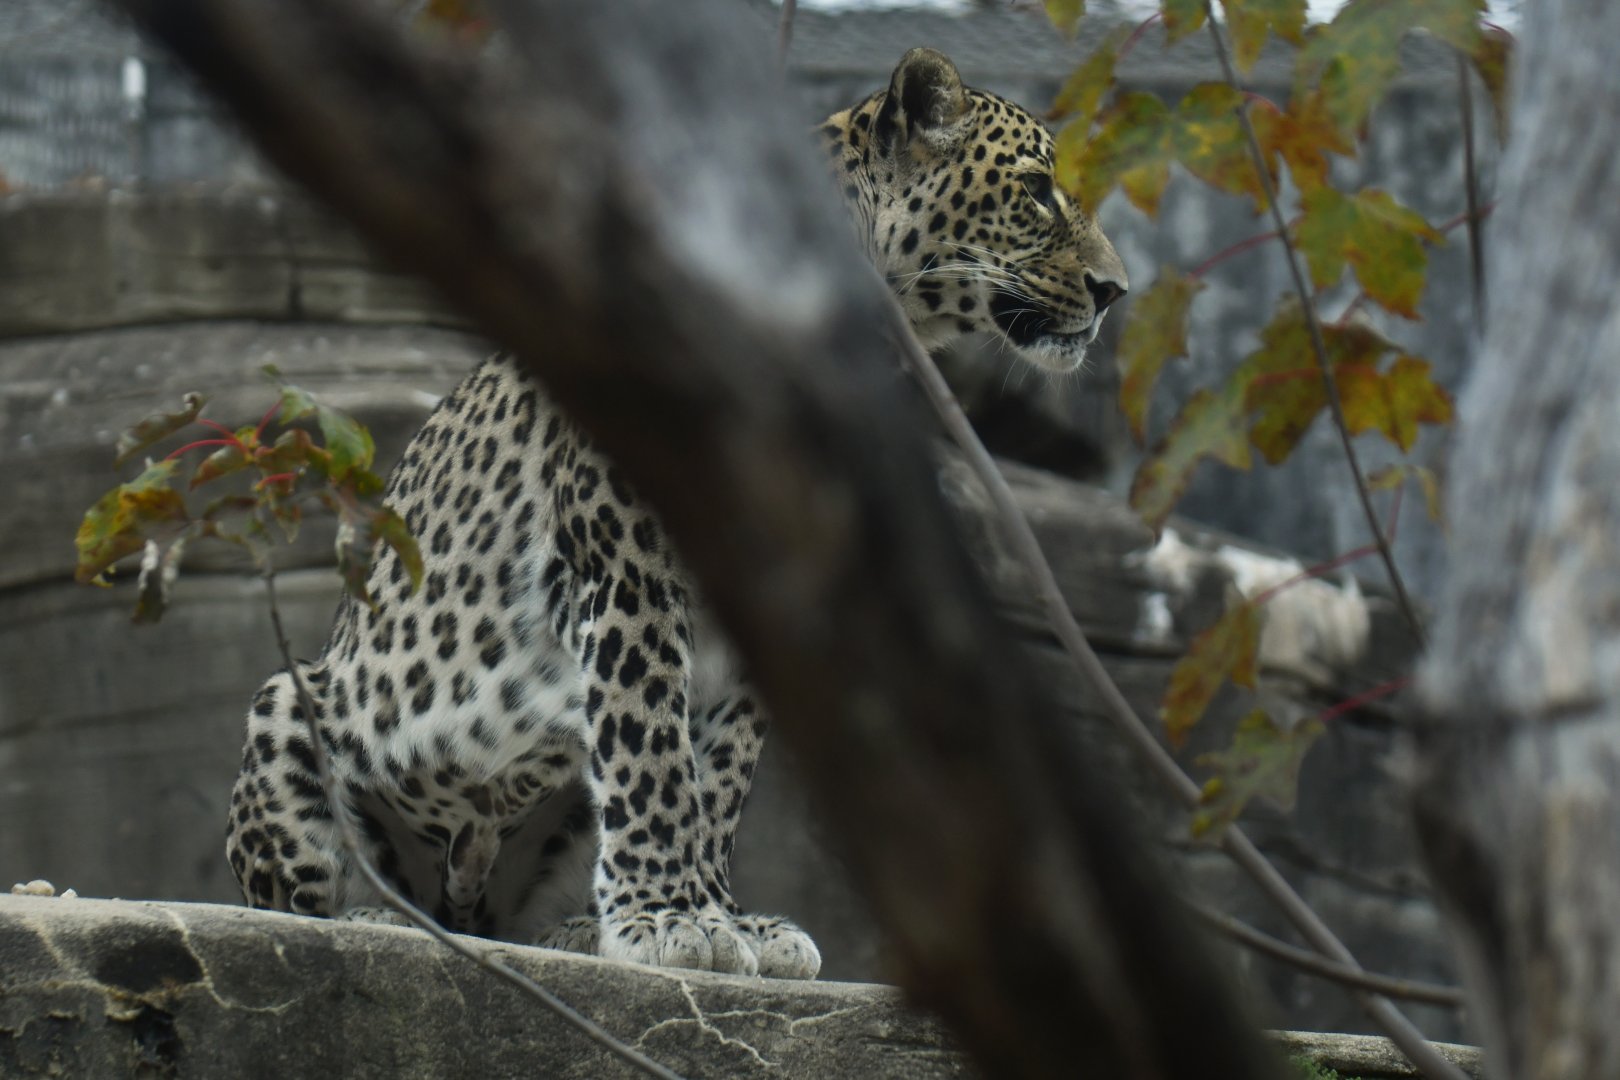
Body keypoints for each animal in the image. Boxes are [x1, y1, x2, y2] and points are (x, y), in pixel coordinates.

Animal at [224, 47, 1127, 980]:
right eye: (1037, 191)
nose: (1116, 291)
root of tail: (466, 896)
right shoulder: (628, 564)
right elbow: (650, 744)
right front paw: (670, 916)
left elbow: (717, 779)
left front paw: (726, 917)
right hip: (293, 703)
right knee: (306, 898)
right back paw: (385, 918)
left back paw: (572, 930)